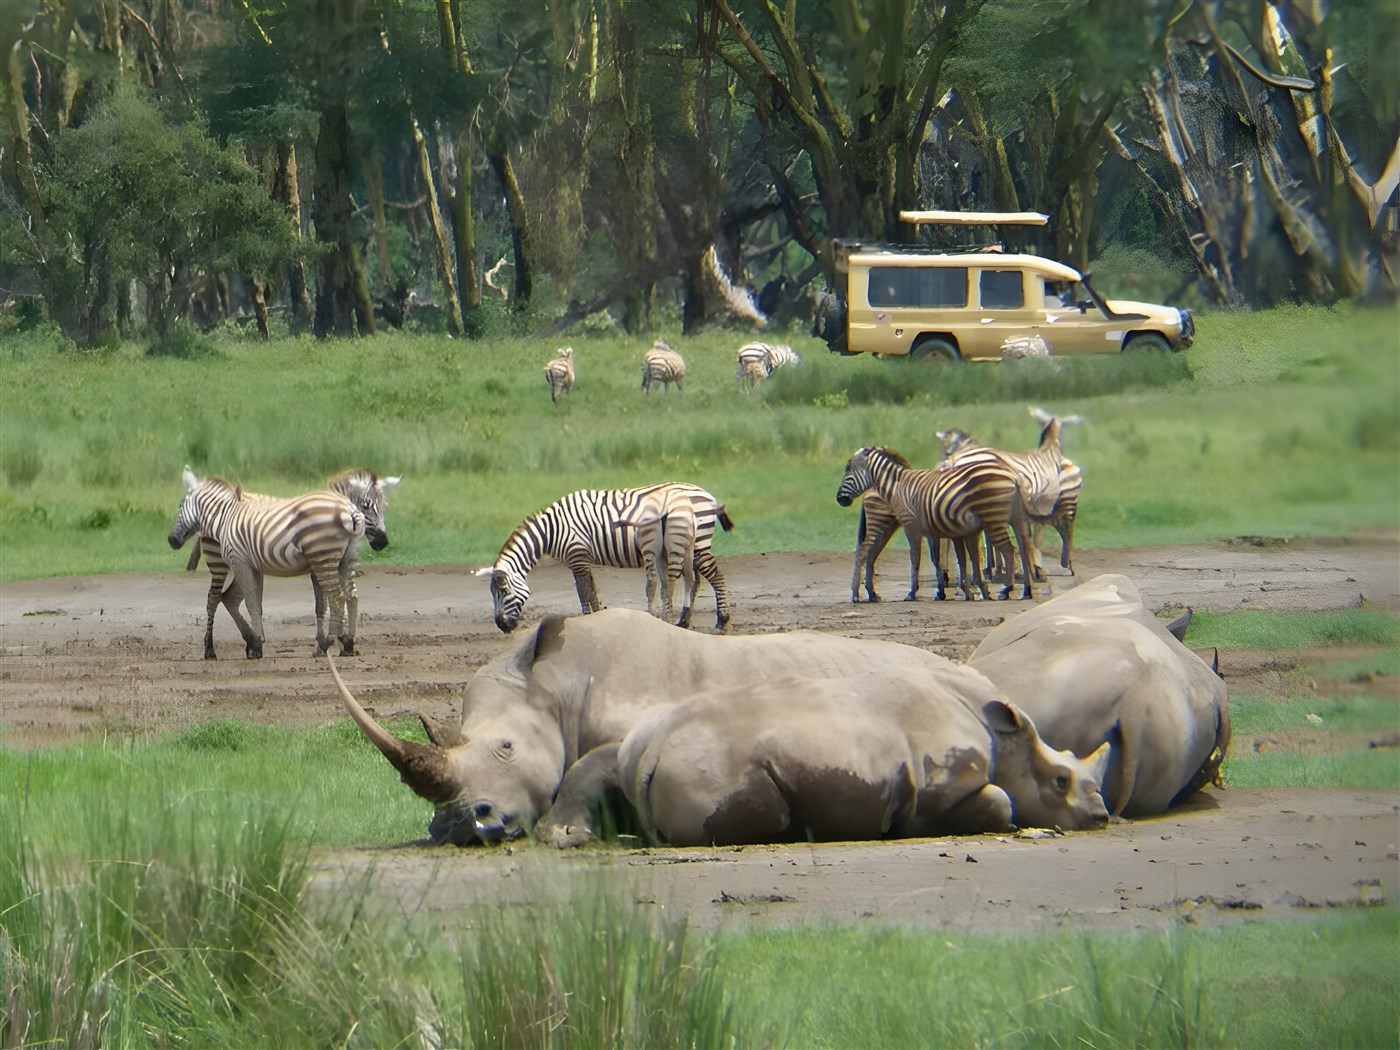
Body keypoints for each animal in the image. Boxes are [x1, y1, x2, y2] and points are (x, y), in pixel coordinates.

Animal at [182, 469, 400, 657]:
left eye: (384, 508)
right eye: (365, 506)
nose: (382, 542)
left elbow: (337, 600)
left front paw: (339, 642)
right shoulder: (318, 567)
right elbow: (324, 604)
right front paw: (330, 643)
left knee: (228, 598)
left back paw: (251, 642)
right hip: (219, 562)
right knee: (213, 599)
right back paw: (210, 649)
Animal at [489, 483, 734, 633]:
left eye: (504, 592)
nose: (501, 626)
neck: (552, 530)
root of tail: (706, 494)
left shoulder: (578, 556)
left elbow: (587, 592)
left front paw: (593, 620)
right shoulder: (577, 561)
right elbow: (585, 592)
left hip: (698, 544)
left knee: (717, 577)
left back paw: (722, 620)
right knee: (697, 580)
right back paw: (684, 621)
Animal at [536, 671, 1110, 848]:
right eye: (1060, 781)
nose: (1101, 816)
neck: (1004, 742)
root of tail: (648, 754)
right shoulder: (942, 789)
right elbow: (1001, 803)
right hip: (708, 764)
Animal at [836, 446, 1036, 601]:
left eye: (848, 470)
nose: (839, 499)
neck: (896, 487)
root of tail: (1013, 477)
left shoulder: (915, 528)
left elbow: (920, 558)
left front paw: (916, 593)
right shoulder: (940, 530)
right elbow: (950, 558)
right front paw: (958, 590)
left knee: (1012, 549)